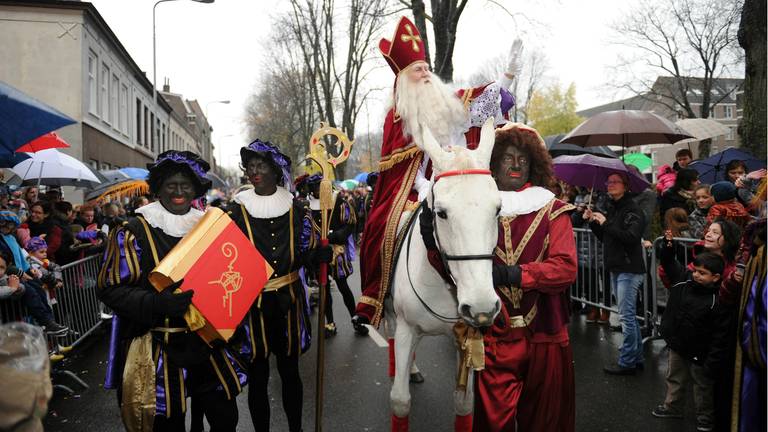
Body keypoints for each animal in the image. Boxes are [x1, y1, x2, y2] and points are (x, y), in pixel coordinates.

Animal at [388, 116, 500, 430]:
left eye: (498, 210)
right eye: (441, 213)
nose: (482, 308)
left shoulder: (465, 338)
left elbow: (464, 402)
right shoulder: (405, 326)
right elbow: (400, 400)